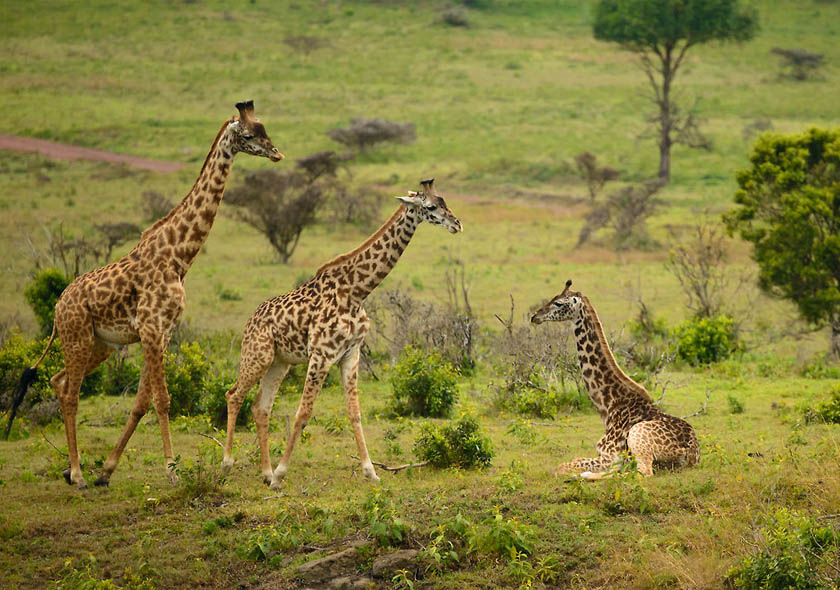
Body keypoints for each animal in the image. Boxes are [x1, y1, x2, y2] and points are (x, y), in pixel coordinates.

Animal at [6, 100, 284, 490]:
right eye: (247, 135)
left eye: (264, 129)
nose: (276, 153)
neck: (179, 256)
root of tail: (59, 305)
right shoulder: (152, 329)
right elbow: (163, 400)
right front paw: (172, 471)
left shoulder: (160, 333)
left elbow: (141, 402)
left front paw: (107, 470)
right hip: (77, 337)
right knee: (72, 393)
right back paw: (77, 473)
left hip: (101, 345)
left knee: (59, 382)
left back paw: (74, 470)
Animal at [220, 179, 462, 490]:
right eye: (431, 207)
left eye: (444, 202)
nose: (457, 224)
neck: (356, 292)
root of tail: (250, 320)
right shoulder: (321, 355)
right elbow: (303, 413)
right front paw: (282, 473)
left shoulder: (351, 354)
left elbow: (355, 412)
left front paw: (370, 471)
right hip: (257, 355)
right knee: (233, 395)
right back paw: (228, 464)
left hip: (279, 363)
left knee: (261, 408)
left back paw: (265, 472)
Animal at [528, 282, 700, 480]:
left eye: (558, 303)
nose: (535, 316)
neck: (609, 404)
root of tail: (692, 454)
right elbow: (572, 460)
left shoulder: (609, 456)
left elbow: (561, 467)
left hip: (638, 437)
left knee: (642, 472)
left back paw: (584, 476)